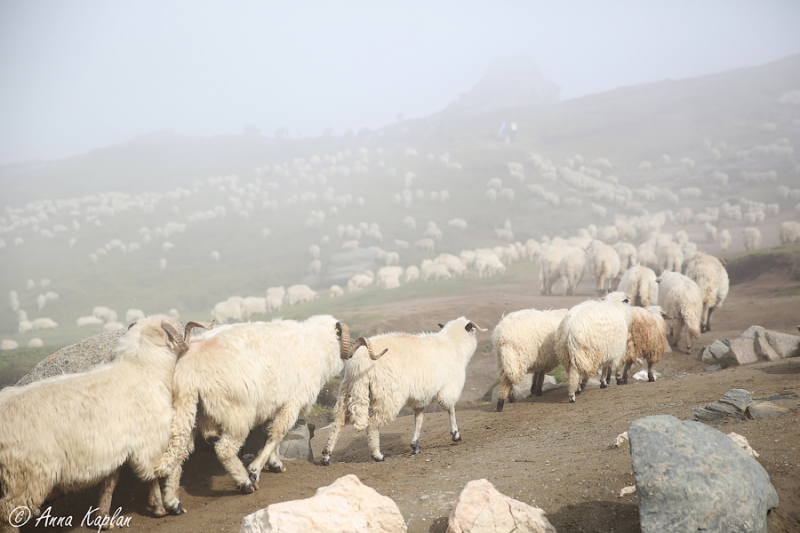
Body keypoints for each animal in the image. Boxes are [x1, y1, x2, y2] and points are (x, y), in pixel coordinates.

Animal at [156, 314, 354, 492]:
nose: (350, 354)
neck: (317, 345)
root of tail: (190, 371)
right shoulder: (293, 402)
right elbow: (278, 433)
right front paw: (255, 470)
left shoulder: (273, 402)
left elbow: (271, 432)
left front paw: (275, 463)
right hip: (236, 412)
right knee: (224, 450)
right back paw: (245, 483)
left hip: (187, 410)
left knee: (179, 450)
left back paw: (172, 500)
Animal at [320, 316, 488, 462]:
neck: (454, 345)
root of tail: (359, 363)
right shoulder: (449, 387)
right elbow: (451, 409)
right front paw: (455, 435)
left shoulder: (421, 396)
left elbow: (418, 419)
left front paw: (415, 445)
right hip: (387, 396)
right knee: (372, 424)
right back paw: (377, 455)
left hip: (348, 390)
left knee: (339, 422)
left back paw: (326, 455)